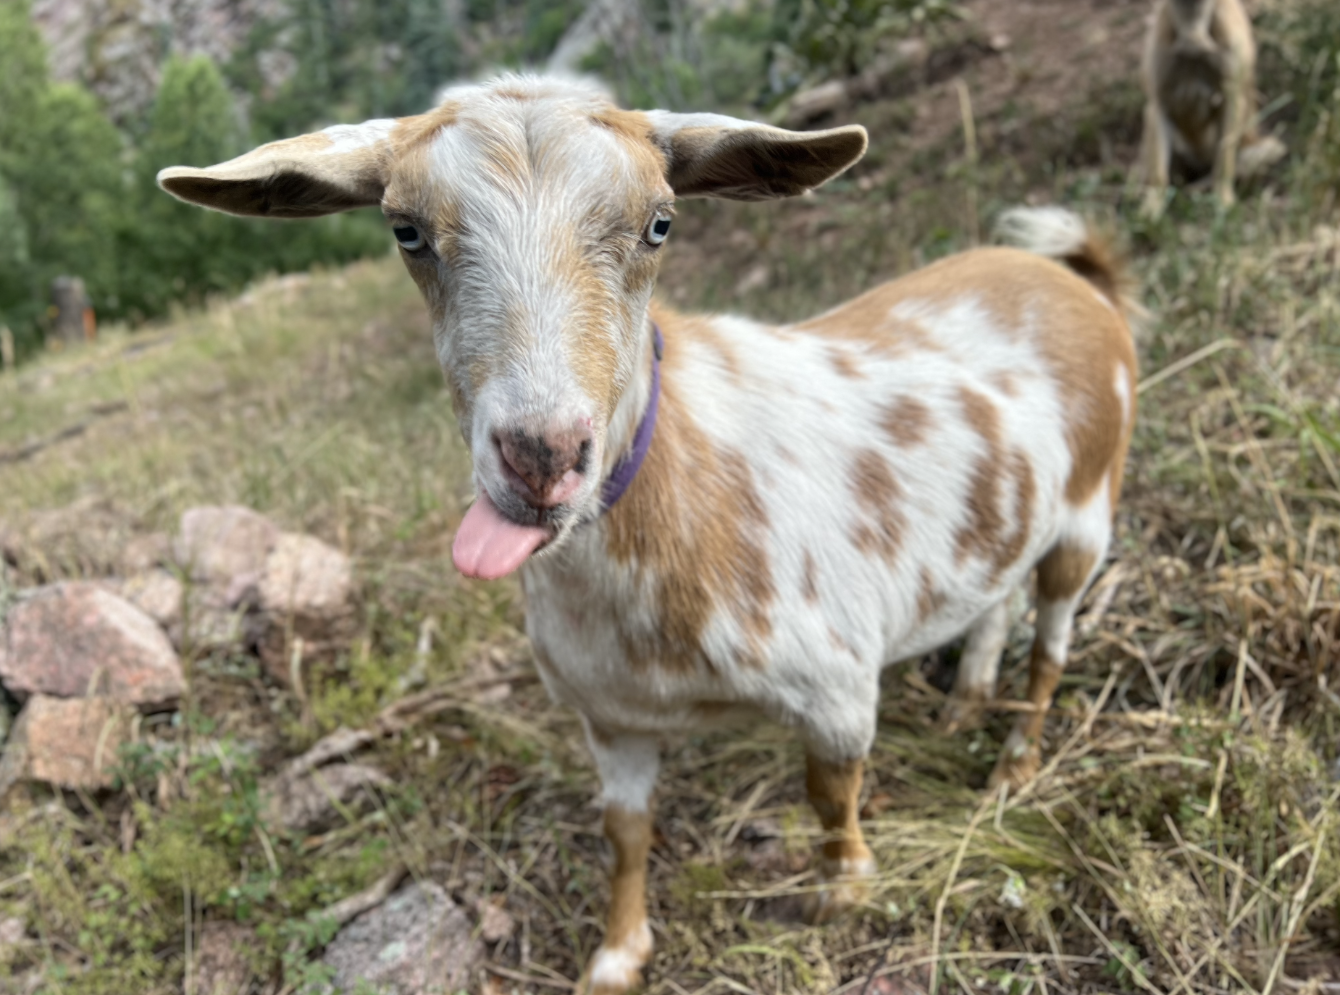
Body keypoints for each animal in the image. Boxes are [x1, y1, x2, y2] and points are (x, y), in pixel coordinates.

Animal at [160, 76, 1138, 994]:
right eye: (406, 232)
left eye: (660, 223)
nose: (543, 455)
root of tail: (1072, 276)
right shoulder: (612, 713)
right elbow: (625, 831)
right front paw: (618, 952)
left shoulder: (836, 680)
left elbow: (830, 795)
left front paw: (844, 888)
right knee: (996, 599)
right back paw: (968, 699)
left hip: (1090, 506)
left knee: (1052, 639)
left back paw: (1013, 764)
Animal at [1137, 0, 1285, 215]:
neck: (1192, 21)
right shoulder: (1158, 104)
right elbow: (1158, 173)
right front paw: (1150, 210)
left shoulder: (1231, 99)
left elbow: (1224, 162)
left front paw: (1223, 202)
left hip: (1267, 148)